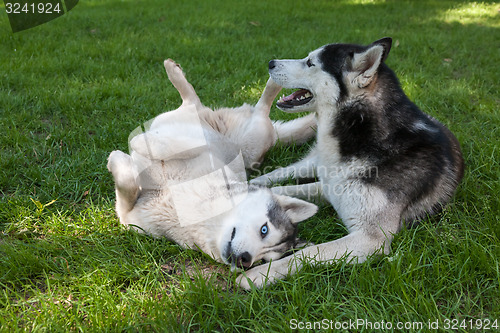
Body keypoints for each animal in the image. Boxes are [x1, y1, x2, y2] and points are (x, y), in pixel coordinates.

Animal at [108, 59, 318, 268]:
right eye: (264, 230)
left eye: (263, 260)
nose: (244, 260)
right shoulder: (204, 148)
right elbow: (166, 147)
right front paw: (137, 144)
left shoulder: (127, 218)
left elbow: (126, 185)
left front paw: (119, 159)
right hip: (248, 140)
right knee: (248, 107)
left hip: (252, 146)